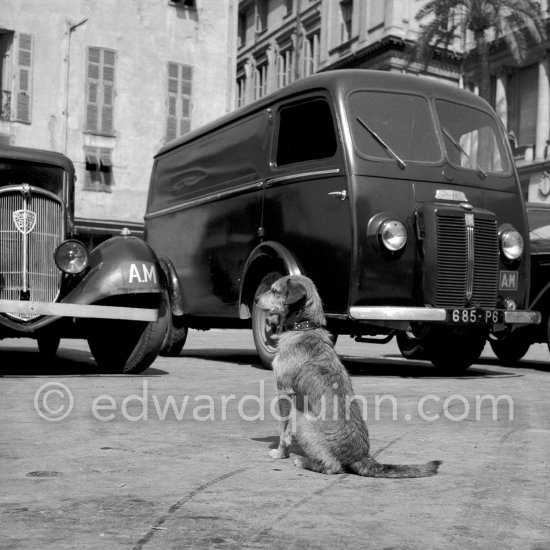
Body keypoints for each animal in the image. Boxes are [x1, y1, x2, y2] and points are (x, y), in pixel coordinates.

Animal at [256, 276, 442, 478]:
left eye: (275, 291)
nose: (255, 299)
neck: (304, 328)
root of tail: (361, 457)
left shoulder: (284, 391)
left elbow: (283, 430)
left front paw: (280, 453)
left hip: (304, 423)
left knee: (332, 467)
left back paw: (303, 461)